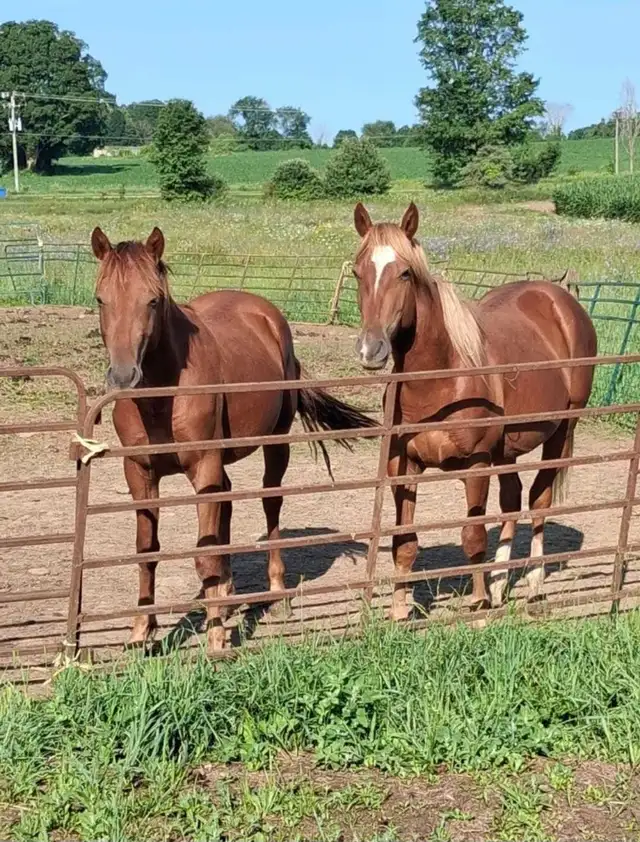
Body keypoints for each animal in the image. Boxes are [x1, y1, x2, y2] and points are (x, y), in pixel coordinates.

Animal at [91, 226, 376, 652]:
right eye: (100, 298)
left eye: (153, 300)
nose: (124, 377)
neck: (162, 395)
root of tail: (264, 313)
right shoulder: (139, 472)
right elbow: (147, 551)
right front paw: (142, 633)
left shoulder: (203, 465)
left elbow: (205, 553)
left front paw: (216, 639)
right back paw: (224, 597)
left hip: (274, 444)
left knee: (271, 503)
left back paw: (275, 594)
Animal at [351, 202, 597, 618]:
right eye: (357, 271)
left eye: (404, 273)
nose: (372, 350)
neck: (442, 378)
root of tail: (559, 299)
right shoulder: (404, 466)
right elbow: (404, 542)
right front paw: (400, 612)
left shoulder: (477, 463)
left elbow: (473, 535)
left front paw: (478, 605)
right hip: (508, 449)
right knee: (512, 501)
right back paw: (500, 585)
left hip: (561, 431)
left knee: (539, 501)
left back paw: (534, 590)